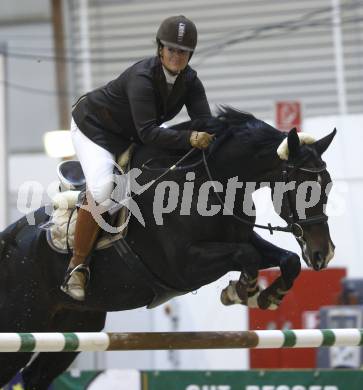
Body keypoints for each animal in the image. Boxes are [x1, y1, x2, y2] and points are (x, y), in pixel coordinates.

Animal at [0, 106, 336, 386]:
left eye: (329, 184)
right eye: (303, 188)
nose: (324, 253)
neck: (208, 182)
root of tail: (7, 241)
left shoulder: (242, 238)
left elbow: (287, 259)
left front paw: (267, 296)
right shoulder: (184, 266)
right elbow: (247, 255)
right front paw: (242, 289)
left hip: (77, 322)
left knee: (35, 376)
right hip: (22, 322)